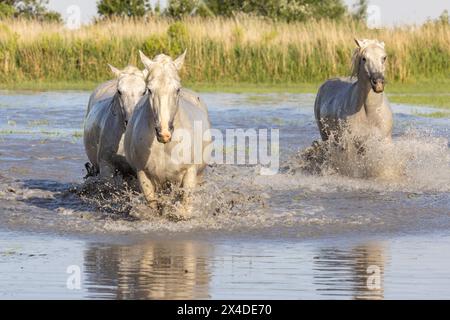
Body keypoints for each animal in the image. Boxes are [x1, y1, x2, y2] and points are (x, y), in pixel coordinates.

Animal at [124, 52, 212, 218]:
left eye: (177, 89)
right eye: (149, 90)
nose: (164, 133)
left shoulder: (189, 173)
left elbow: (185, 204)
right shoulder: (143, 174)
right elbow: (153, 204)